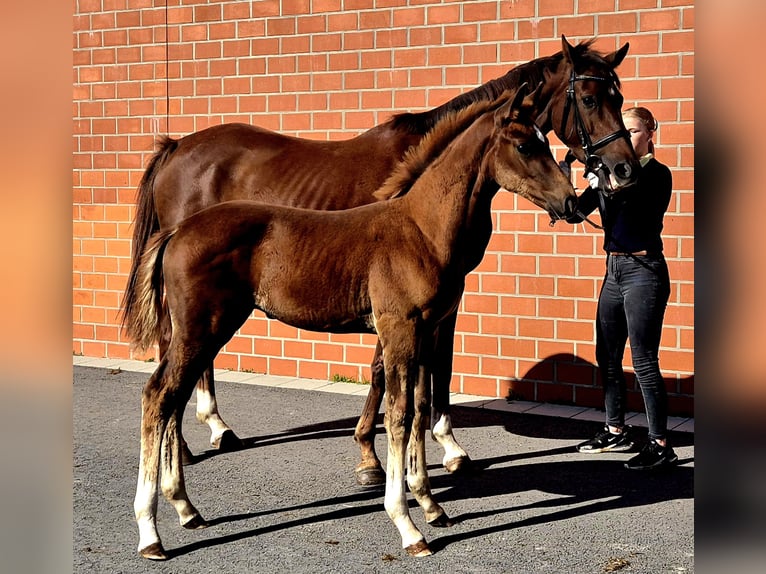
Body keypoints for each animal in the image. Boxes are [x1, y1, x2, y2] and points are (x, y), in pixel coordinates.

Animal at [121, 36, 638, 485]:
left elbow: (437, 367)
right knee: (173, 355)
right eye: (589, 98)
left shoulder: (442, 299)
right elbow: (386, 372)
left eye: (619, 95)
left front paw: (445, 449)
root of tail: (176, 148)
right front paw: (373, 456)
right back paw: (185, 445)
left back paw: (214, 430)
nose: (624, 169)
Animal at [129, 85, 576, 560]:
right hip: (200, 328)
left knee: (172, 399)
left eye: (545, 140)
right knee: (158, 396)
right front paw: (408, 526)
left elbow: (420, 409)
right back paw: (150, 532)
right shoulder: (400, 330)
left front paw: (430, 504)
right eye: (526, 146)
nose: (572, 201)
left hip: (204, 329)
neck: (421, 228)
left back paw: (185, 508)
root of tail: (177, 231)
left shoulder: (425, 332)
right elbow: (398, 415)